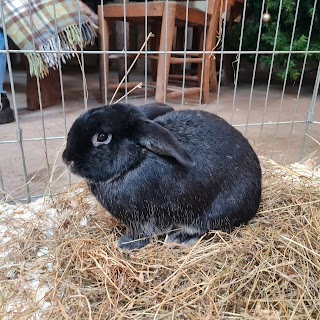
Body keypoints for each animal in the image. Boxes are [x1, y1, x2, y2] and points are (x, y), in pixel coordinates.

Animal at [61, 102, 262, 250]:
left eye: (102, 137)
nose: (67, 159)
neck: (135, 162)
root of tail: (255, 200)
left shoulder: (146, 218)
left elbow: (144, 233)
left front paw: (125, 244)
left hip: (216, 212)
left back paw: (179, 238)